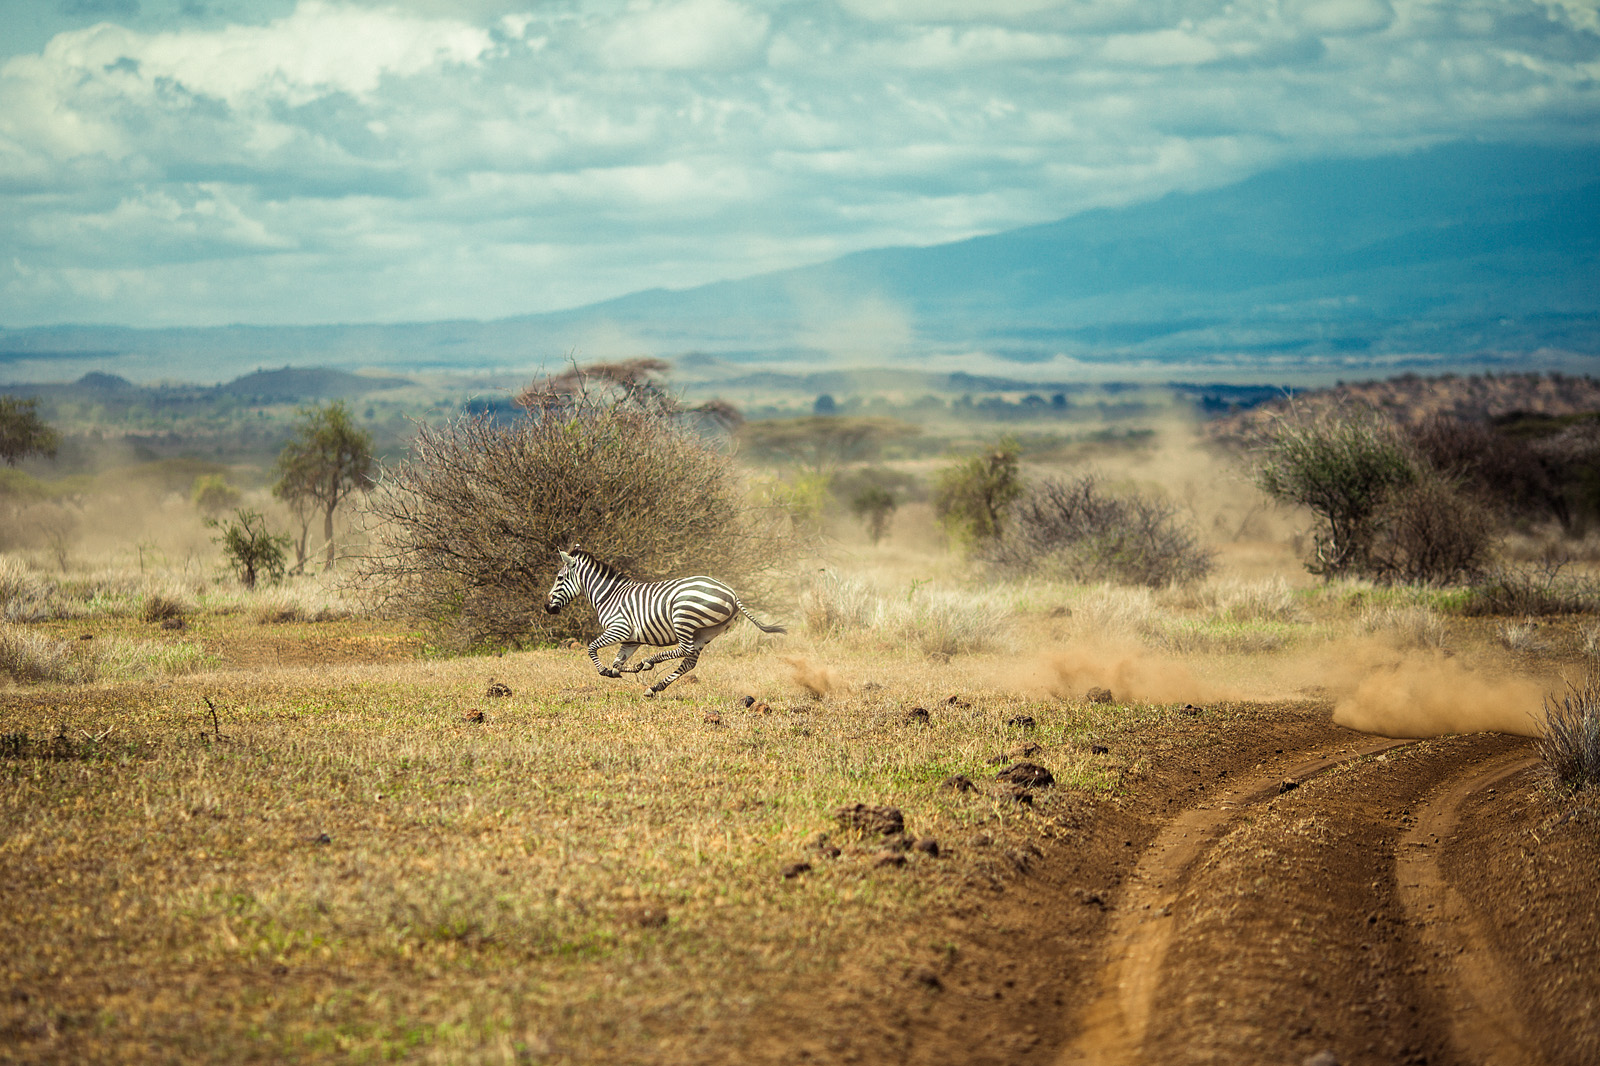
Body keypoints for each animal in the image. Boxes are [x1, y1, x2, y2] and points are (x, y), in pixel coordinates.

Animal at [544, 550, 787, 694]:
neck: (609, 595)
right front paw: (625, 669)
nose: (547, 608)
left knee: (684, 650)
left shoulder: (619, 629)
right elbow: (618, 662)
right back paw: (655, 686)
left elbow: (591, 647)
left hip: (683, 617)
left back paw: (651, 660)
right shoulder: (631, 639)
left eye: (559, 578)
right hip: (708, 631)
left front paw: (606, 670)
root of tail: (732, 593)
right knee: (689, 661)